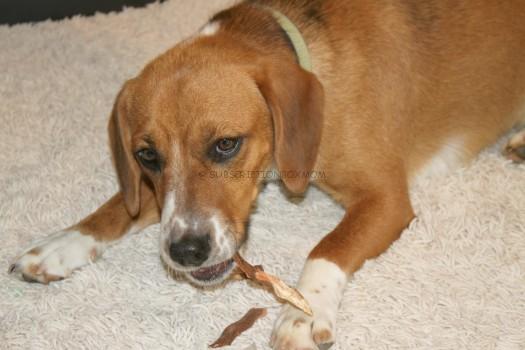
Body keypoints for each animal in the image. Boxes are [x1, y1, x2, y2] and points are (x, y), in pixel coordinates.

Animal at [8, 0, 524, 348]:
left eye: (226, 144)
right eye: (147, 156)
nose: (186, 252)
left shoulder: (386, 199)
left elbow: (329, 247)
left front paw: (304, 309)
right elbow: (118, 206)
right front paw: (63, 244)